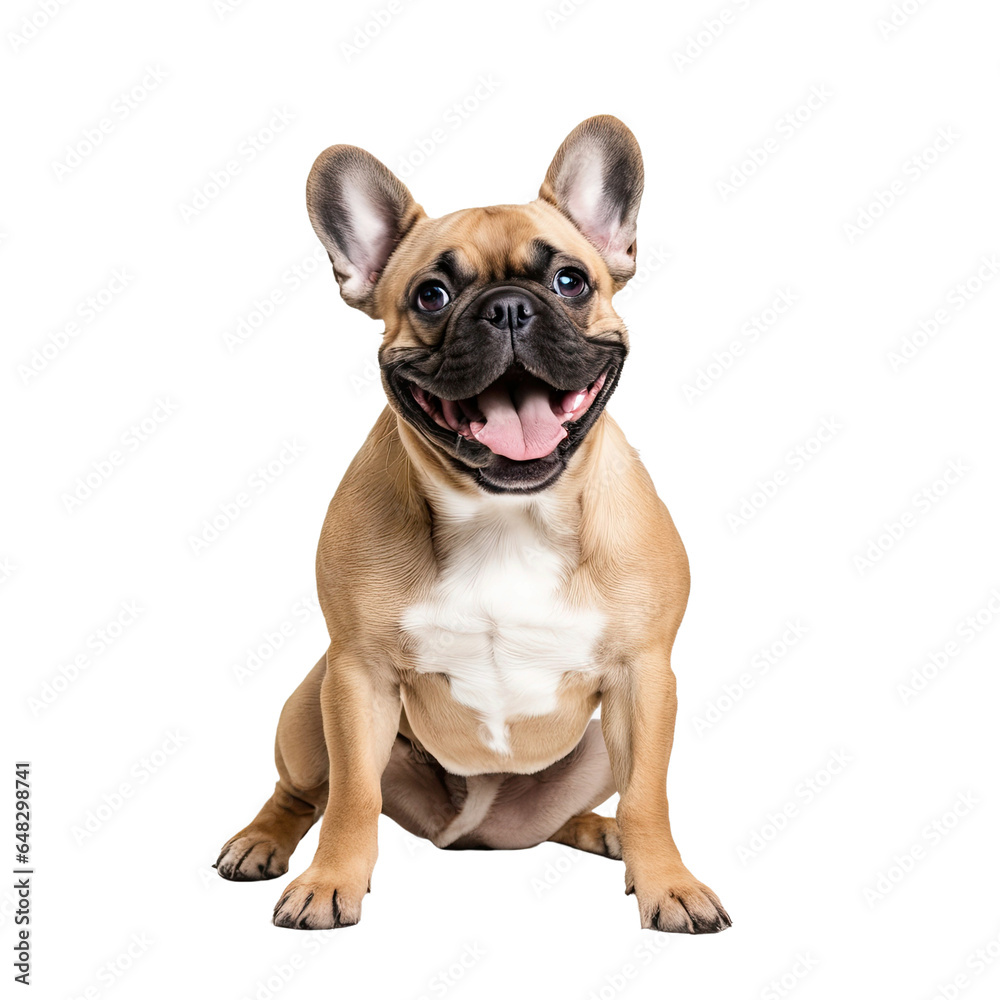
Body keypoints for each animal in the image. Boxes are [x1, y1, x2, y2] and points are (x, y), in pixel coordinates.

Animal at [219, 119, 732, 936]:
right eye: (431, 295)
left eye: (569, 281)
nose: (508, 308)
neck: (507, 513)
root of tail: (470, 833)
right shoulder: (357, 675)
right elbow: (353, 795)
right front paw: (330, 881)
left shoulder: (645, 677)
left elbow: (649, 794)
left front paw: (669, 883)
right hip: (309, 701)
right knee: (305, 792)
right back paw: (261, 840)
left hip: (593, 747)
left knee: (595, 803)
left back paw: (603, 832)